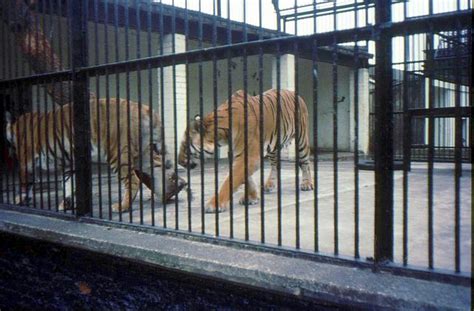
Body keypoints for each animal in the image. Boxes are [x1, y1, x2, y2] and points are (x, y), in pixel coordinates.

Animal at [6, 98, 187, 213]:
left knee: (133, 180)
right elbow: (68, 183)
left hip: (117, 154)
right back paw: (170, 192)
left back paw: (121, 207)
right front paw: (67, 204)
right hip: (142, 154)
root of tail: (144, 108)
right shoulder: (70, 163)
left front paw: (19, 199)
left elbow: (26, 182)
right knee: (159, 167)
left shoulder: (26, 161)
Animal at [176, 89, 312, 213]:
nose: (179, 162)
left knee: (306, 163)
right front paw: (251, 197)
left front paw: (214, 204)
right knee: (275, 165)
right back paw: (269, 185)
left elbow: (231, 180)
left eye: (185, 146)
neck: (223, 135)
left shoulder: (249, 156)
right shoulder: (238, 155)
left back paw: (307, 184)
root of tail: (295, 93)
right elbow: (246, 178)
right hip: (273, 146)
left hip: (301, 140)